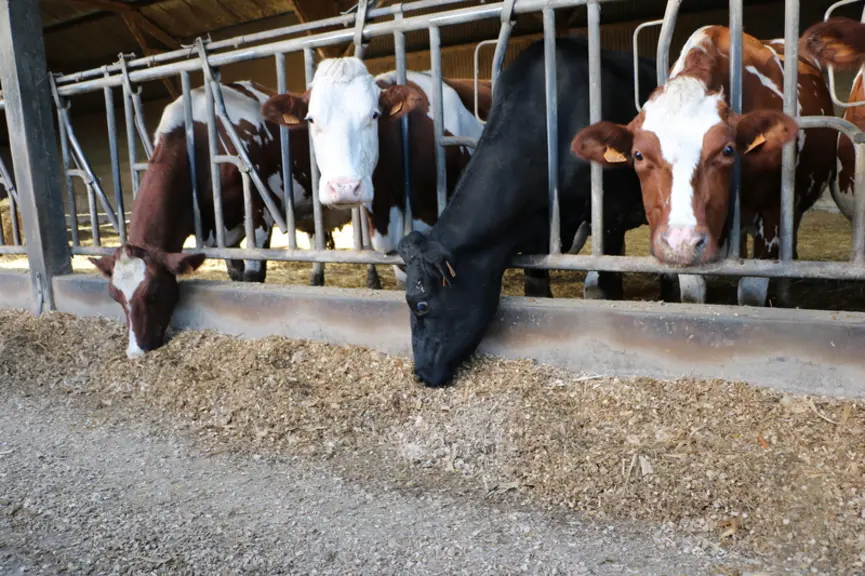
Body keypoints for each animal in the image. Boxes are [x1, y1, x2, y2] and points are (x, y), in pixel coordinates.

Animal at [89, 80, 351, 358]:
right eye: (114, 296)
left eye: (153, 291)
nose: (135, 351)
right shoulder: (216, 231)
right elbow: (235, 274)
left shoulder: (260, 214)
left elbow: (253, 277)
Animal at [395, 36, 659, 387]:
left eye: (421, 304)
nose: (421, 374)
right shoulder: (538, 229)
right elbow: (536, 287)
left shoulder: (610, 212)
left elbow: (609, 280)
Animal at [571, 25, 839, 307]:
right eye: (639, 155)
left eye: (727, 150)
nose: (681, 242)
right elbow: (693, 295)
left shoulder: (771, 215)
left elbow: (751, 294)